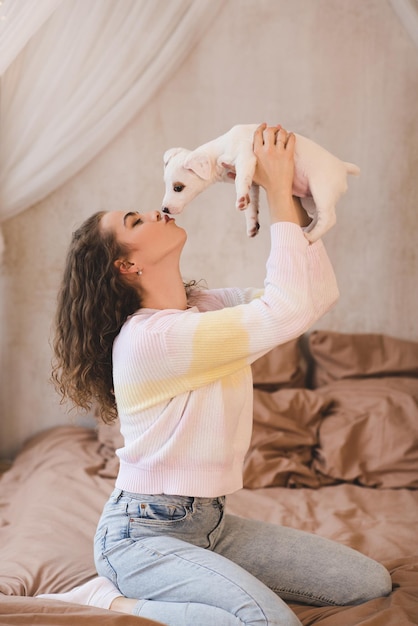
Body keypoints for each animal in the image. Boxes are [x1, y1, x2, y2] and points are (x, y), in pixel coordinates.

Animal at [162, 123, 360, 240]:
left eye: (178, 188)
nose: (164, 209)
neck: (220, 150)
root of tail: (342, 166)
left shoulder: (245, 159)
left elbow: (241, 182)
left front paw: (240, 200)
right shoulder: (254, 183)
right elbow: (251, 206)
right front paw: (251, 225)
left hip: (321, 189)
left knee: (328, 218)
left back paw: (310, 238)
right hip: (309, 199)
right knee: (317, 216)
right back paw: (307, 230)